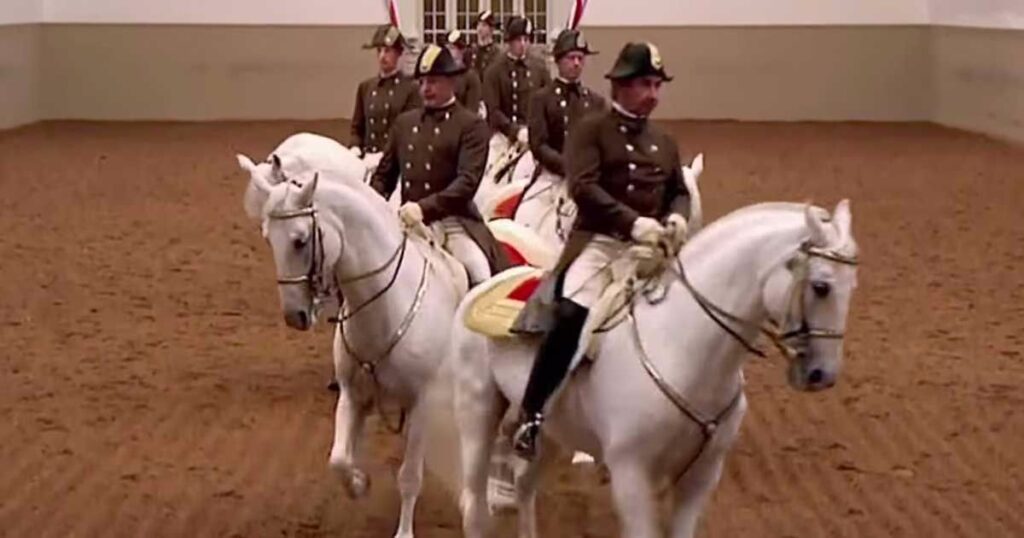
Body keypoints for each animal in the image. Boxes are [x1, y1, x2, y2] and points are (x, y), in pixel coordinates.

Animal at [245, 168, 468, 536]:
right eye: (267, 239)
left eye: (299, 241)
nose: (294, 317)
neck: (385, 308)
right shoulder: (353, 395)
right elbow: (339, 459)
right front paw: (360, 483)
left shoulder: (422, 405)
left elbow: (409, 477)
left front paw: (404, 532)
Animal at [452, 198, 860, 532]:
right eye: (822, 286)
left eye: (852, 286)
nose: (822, 375)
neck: (681, 346)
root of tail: (488, 283)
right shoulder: (631, 477)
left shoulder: (701, 478)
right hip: (478, 412)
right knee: (474, 507)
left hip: (552, 432)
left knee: (525, 487)